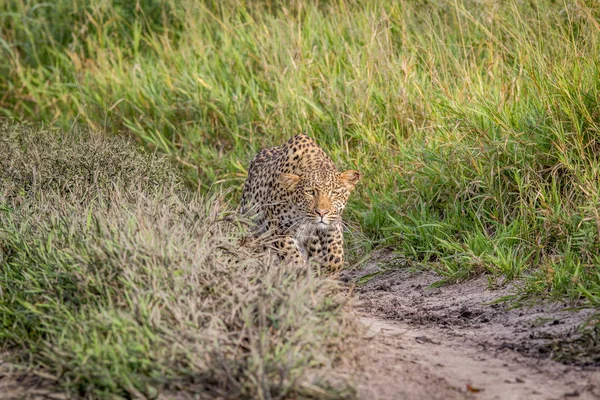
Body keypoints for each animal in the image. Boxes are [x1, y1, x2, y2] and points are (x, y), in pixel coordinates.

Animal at [240, 133, 360, 270]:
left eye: (334, 193)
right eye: (310, 192)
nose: (322, 213)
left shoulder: (332, 225)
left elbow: (335, 257)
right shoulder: (278, 229)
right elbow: (292, 256)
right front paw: (300, 269)